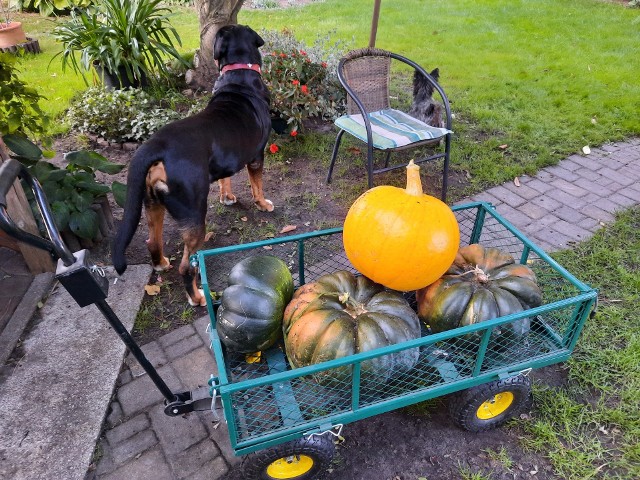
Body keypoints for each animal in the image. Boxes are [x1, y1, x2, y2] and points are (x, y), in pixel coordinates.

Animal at [112, 24, 272, 306]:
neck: (239, 75)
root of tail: (156, 146)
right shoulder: (256, 156)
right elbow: (257, 185)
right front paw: (263, 204)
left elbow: (225, 179)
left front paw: (227, 197)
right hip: (195, 214)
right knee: (187, 267)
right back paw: (197, 297)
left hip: (152, 203)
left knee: (153, 242)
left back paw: (161, 263)